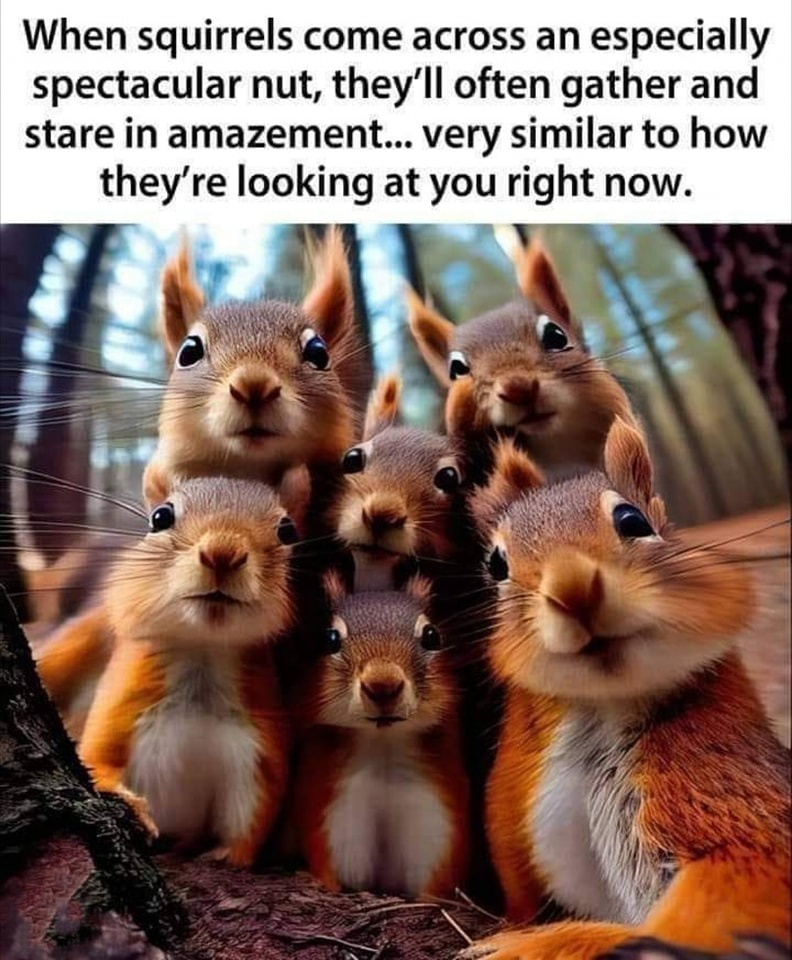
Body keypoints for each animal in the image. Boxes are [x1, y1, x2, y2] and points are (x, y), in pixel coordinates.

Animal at [49, 474, 298, 866]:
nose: (222, 552)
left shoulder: (257, 752)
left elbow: (251, 822)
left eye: (288, 530)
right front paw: (133, 807)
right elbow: (98, 764)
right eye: (160, 517)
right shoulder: (119, 713)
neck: (201, 651)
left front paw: (226, 855)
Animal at [291, 571, 469, 897]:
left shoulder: (439, 831)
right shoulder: (331, 820)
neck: (382, 744)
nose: (382, 684)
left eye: (432, 636)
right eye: (329, 638)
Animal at [461, 420, 790, 960]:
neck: (604, 703)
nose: (572, 588)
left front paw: (540, 943)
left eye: (632, 520)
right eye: (496, 564)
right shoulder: (513, 817)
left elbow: (730, 893)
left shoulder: (738, 801)